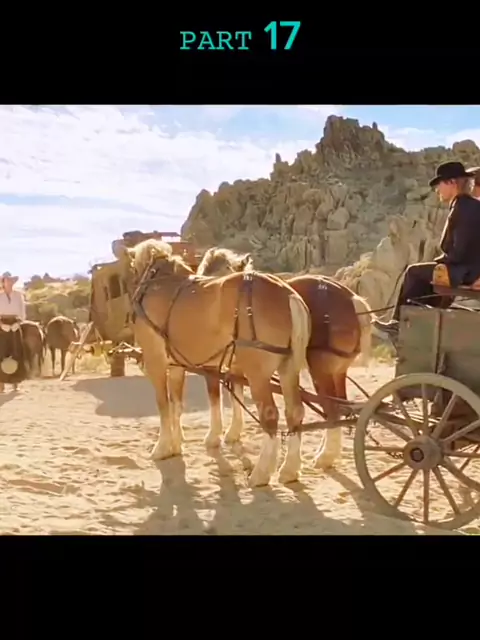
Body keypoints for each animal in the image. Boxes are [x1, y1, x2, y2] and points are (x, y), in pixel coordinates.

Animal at [118, 238, 311, 487]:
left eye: (130, 270)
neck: (158, 284)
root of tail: (288, 294)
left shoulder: (156, 361)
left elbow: (163, 404)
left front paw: (162, 447)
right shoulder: (177, 365)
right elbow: (177, 404)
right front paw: (176, 444)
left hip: (257, 374)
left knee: (270, 415)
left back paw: (260, 474)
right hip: (288, 369)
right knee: (294, 412)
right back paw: (289, 470)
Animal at [192, 247, 372, 472]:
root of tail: (351, 299)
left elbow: (216, 396)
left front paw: (214, 436)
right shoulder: (240, 367)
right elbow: (236, 394)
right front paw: (233, 433)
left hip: (321, 370)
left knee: (332, 409)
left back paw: (324, 457)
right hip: (338, 371)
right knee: (338, 407)